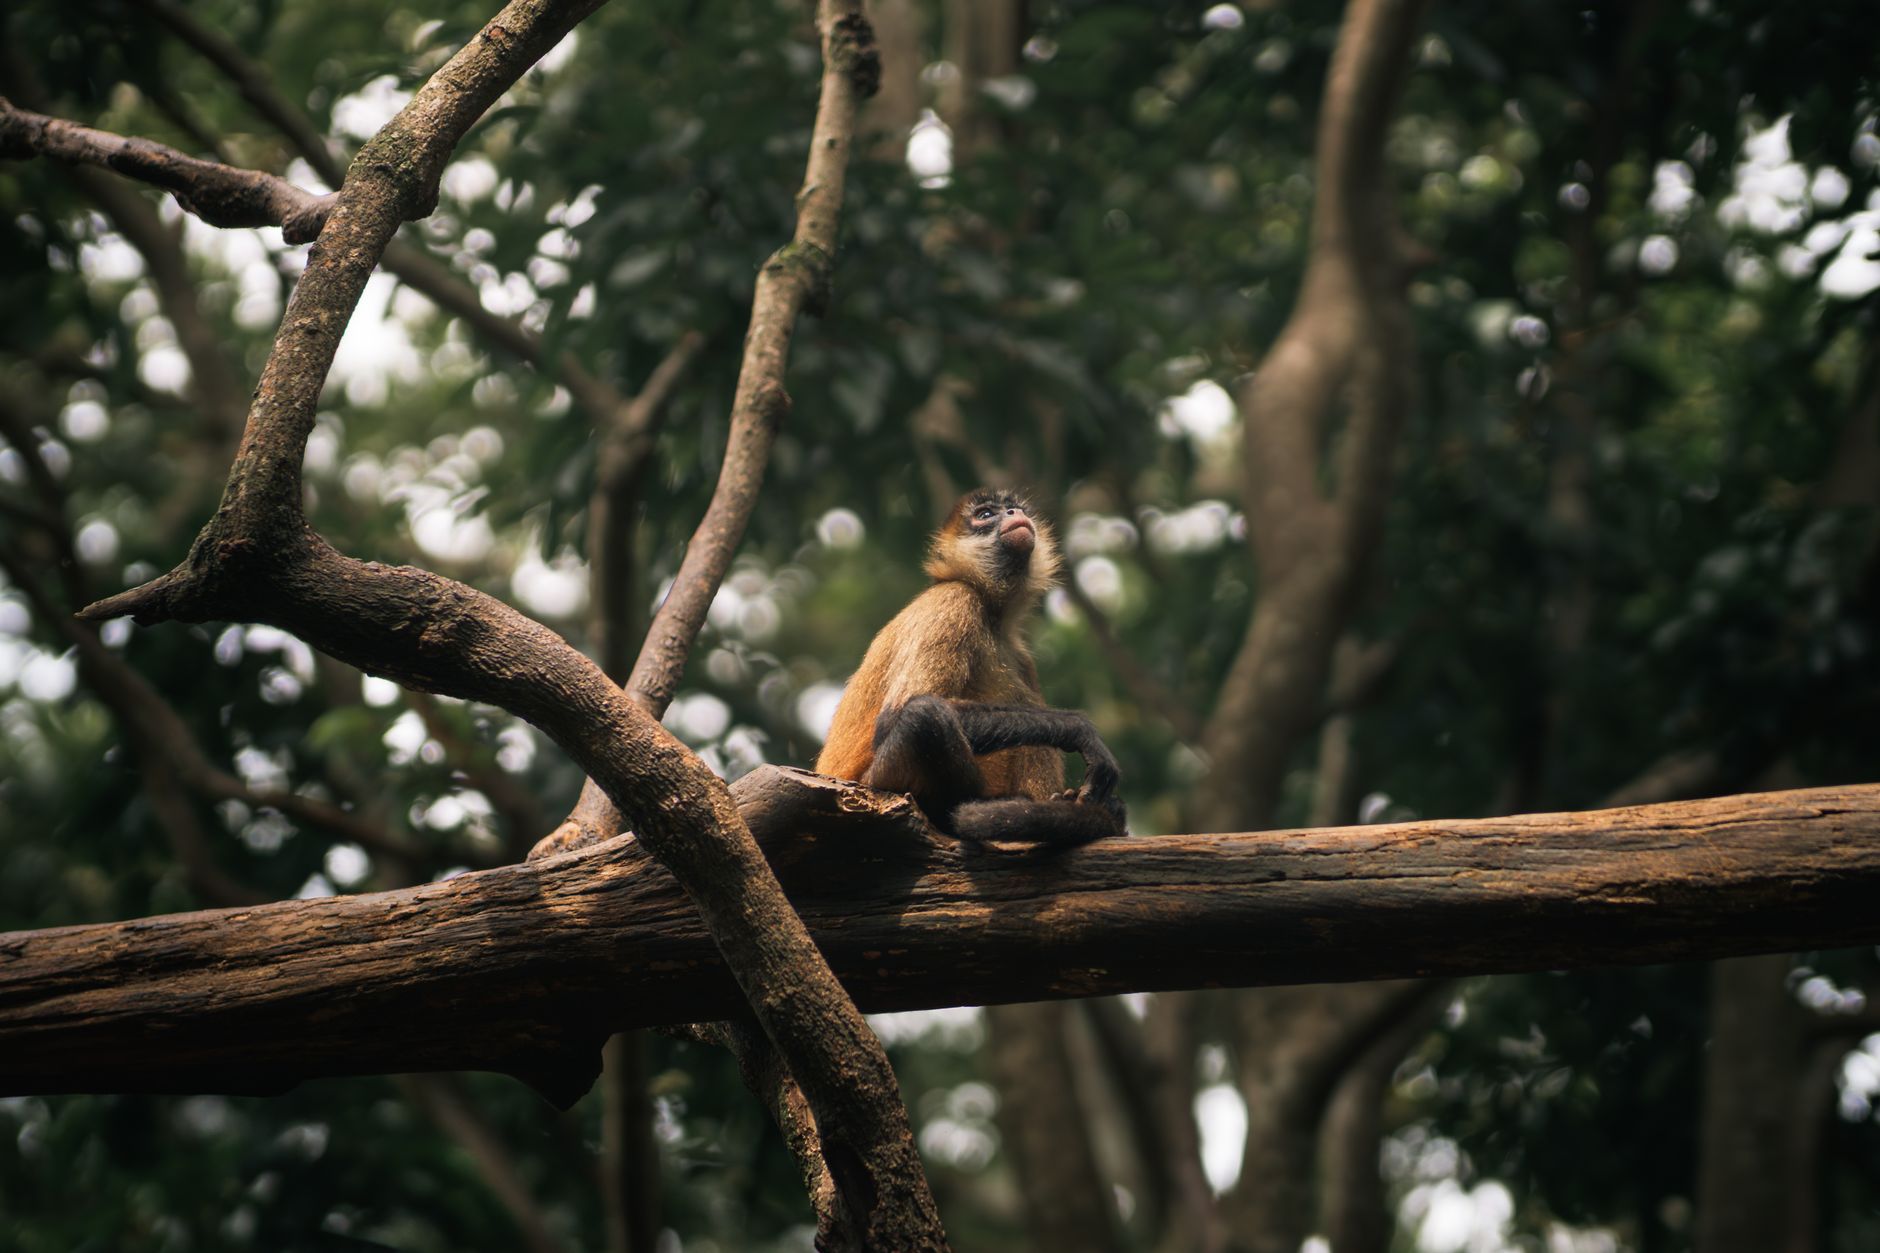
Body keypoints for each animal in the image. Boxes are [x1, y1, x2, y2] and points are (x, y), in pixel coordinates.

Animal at [815, 488, 1127, 845]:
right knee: (925, 716)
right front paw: (1078, 729)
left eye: (1014, 508)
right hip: (880, 780)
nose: (1013, 513)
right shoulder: (953, 599)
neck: (992, 615)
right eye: (986, 515)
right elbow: (895, 719)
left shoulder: (1021, 656)